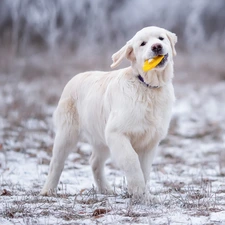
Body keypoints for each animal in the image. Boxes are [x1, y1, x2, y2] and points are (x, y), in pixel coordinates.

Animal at [40, 26, 178, 198]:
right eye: (143, 44)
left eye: (161, 38)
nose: (156, 47)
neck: (147, 87)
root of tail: (75, 77)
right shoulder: (116, 133)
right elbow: (131, 159)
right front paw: (138, 189)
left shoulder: (149, 141)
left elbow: (145, 169)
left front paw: (145, 196)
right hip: (67, 133)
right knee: (56, 162)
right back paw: (48, 190)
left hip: (100, 137)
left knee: (94, 162)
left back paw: (105, 189)